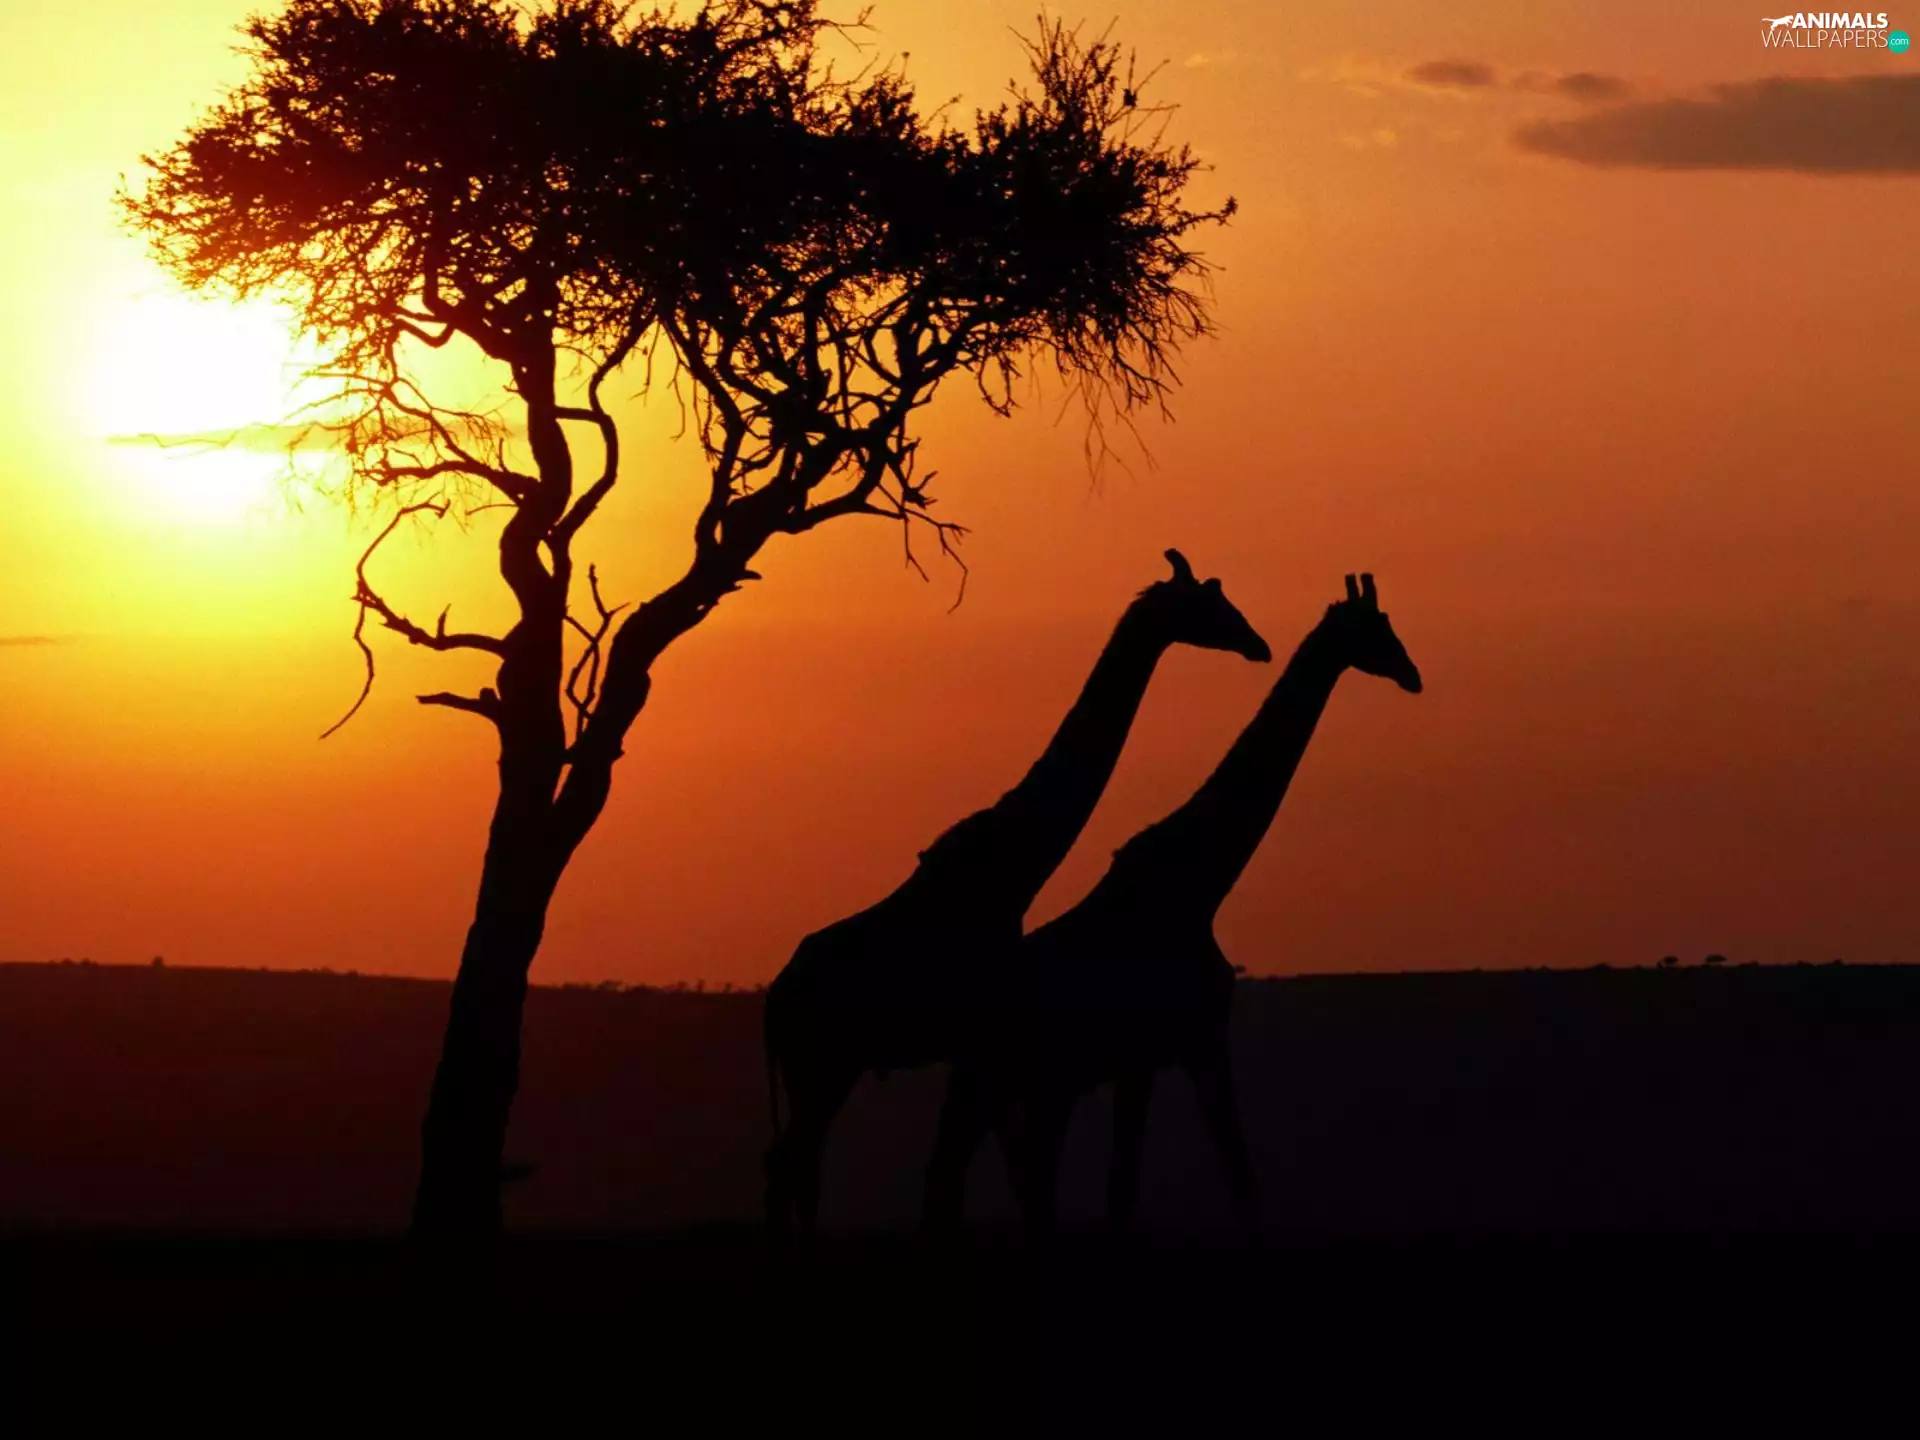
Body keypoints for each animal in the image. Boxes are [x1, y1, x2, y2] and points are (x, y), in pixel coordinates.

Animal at [763, 550, 1273, 1242]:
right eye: (1209, 602)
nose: (1258, 644)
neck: (1018, 863)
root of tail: (773, 1000)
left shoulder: (987, 1046)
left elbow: (1000, 1176)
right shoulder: (988, 1041)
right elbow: (1004, 1174)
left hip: (820, 1072)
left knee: (796, 1163)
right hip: (823, 1066)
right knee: (791, 1162)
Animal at [924, 573, 1422, 1231]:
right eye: (1375, 629)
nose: (1413, 675)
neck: (1199, 885)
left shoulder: (1160, 1055)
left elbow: (1153, 1191)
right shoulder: (1182, 1045)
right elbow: (1214, 1186)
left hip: (1017, 1087)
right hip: (1025, 1082)